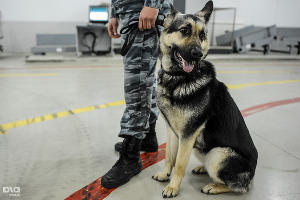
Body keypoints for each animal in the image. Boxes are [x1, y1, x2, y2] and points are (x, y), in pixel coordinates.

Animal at [152, 1, 258, 198]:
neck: (178, 79)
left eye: (202, 35)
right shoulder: (172, 131)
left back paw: (214, 186)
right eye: (184, 30)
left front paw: (173, 187)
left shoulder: (188, 135)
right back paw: (202, 169)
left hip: (217, 154)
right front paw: (164, 174)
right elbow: (169, 156)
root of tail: (252, 175)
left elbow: (179, 163)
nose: (198, 54)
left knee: (238, 187)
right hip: (202, 150)